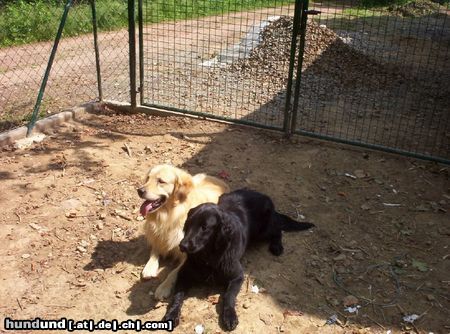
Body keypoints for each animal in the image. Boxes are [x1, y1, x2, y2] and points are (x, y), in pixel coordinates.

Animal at [163, 189, 314, 330]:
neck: (209, 256)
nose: (182, 246)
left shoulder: (237, 276)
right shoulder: (183, 275)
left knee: (278, 230)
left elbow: (228, 296)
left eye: (204, 227)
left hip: (262, 231)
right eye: (188, 224)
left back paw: (277, 246)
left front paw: (230, 316)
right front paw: (171, 314)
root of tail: (262, 195)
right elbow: (177, 297)